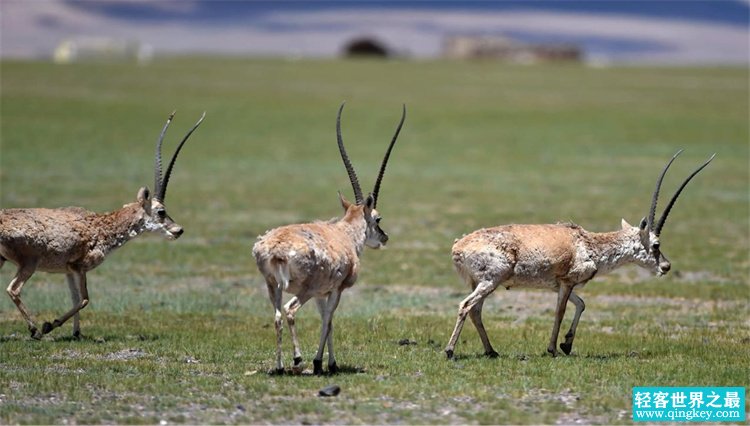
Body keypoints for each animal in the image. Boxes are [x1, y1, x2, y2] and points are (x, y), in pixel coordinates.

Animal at [0, 112, 206, 340]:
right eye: (161, 211)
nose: (178, 230)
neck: (102, 225)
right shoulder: (79, 267)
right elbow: (84, 299)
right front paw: (49, 325)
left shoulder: (68, 270)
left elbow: (75, 298)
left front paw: (77, 333)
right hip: (29, 263)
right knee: (13, 289)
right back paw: (35, 330)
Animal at [253, 103, 406, 376]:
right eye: (377, 217)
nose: (384, 237)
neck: (345, 234)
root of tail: (276, 249)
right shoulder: (335, 290)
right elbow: (329, 320)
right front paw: (323, 363)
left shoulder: (321, 294)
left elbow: (328, 321)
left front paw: (327, 362)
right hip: (303, 289)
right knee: (290, 311)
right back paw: (298, 359)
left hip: (273, 286)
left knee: (278, 316)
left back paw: (280, 367)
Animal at [446, 151, 716, 362]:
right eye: (656, 244)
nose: (666, 266)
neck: (588, 243)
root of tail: (459, 246)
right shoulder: (567, 282)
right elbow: (561, 311)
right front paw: (553, 349)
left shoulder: (559, 284)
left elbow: (581, 304)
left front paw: (566, 344)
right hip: (491, 280)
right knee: (467, 306)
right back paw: (450, 351)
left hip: (482, 283)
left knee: (476, 310)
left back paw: (491, 351)